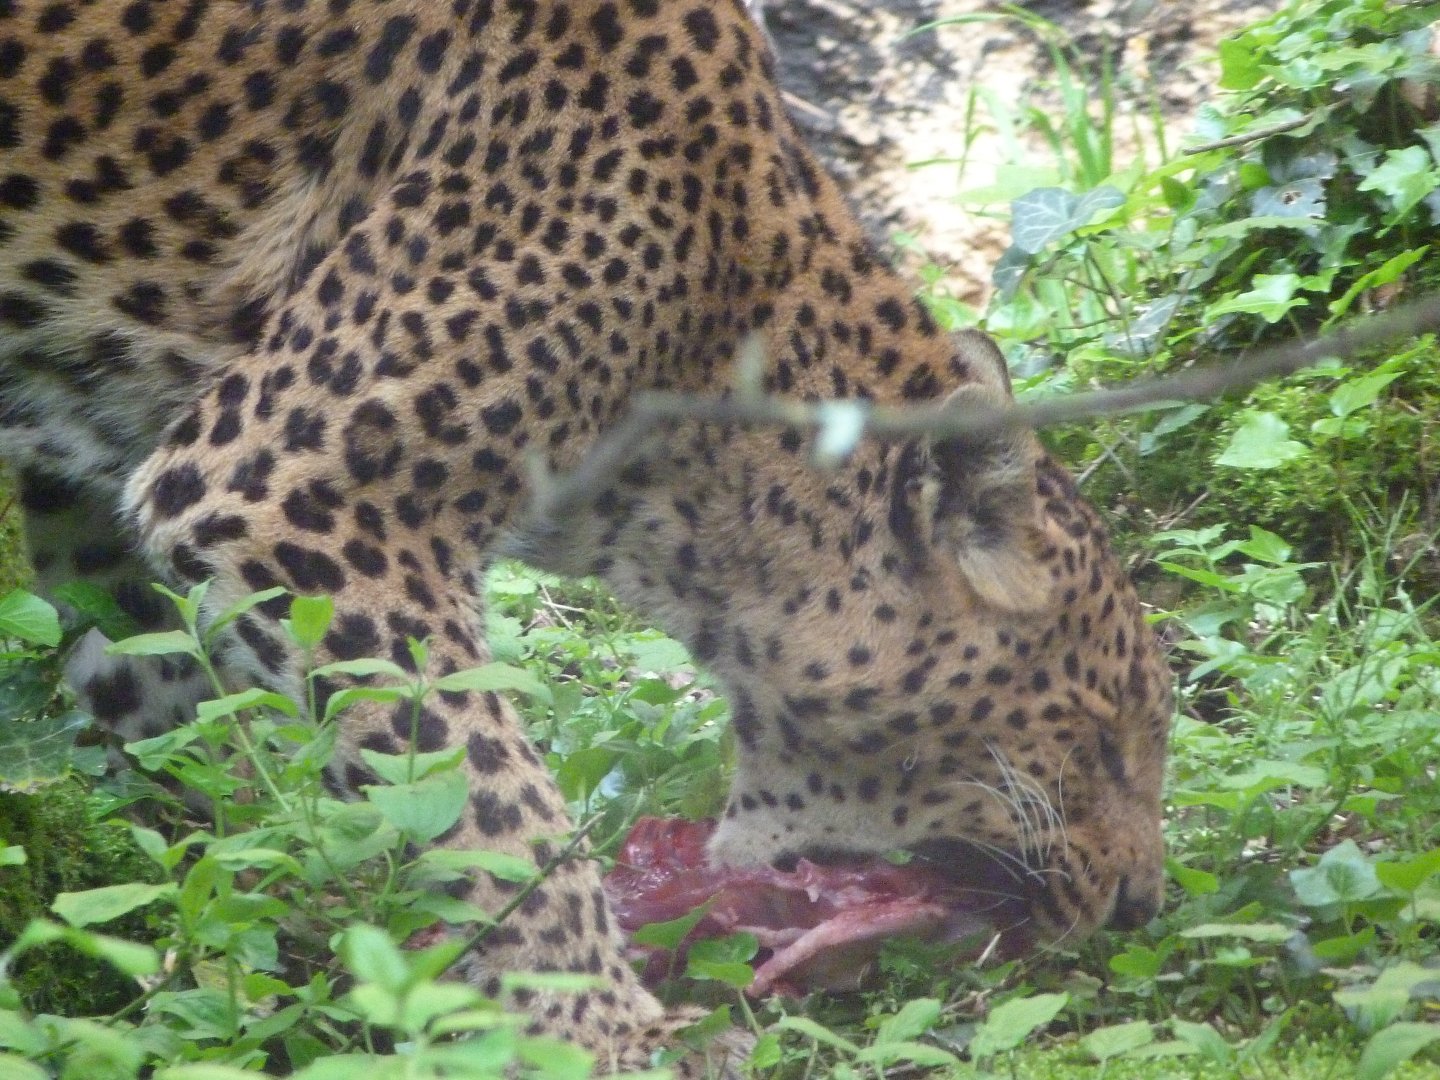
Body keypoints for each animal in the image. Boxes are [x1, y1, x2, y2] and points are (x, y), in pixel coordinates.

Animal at [0, 0, 1172, 1070]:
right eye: (1107, 736)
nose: (1139, 906)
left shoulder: (106, 513)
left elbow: (180, 723)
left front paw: (284, 931)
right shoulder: (284, 488)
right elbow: (484, 792)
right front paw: (600, 1029)